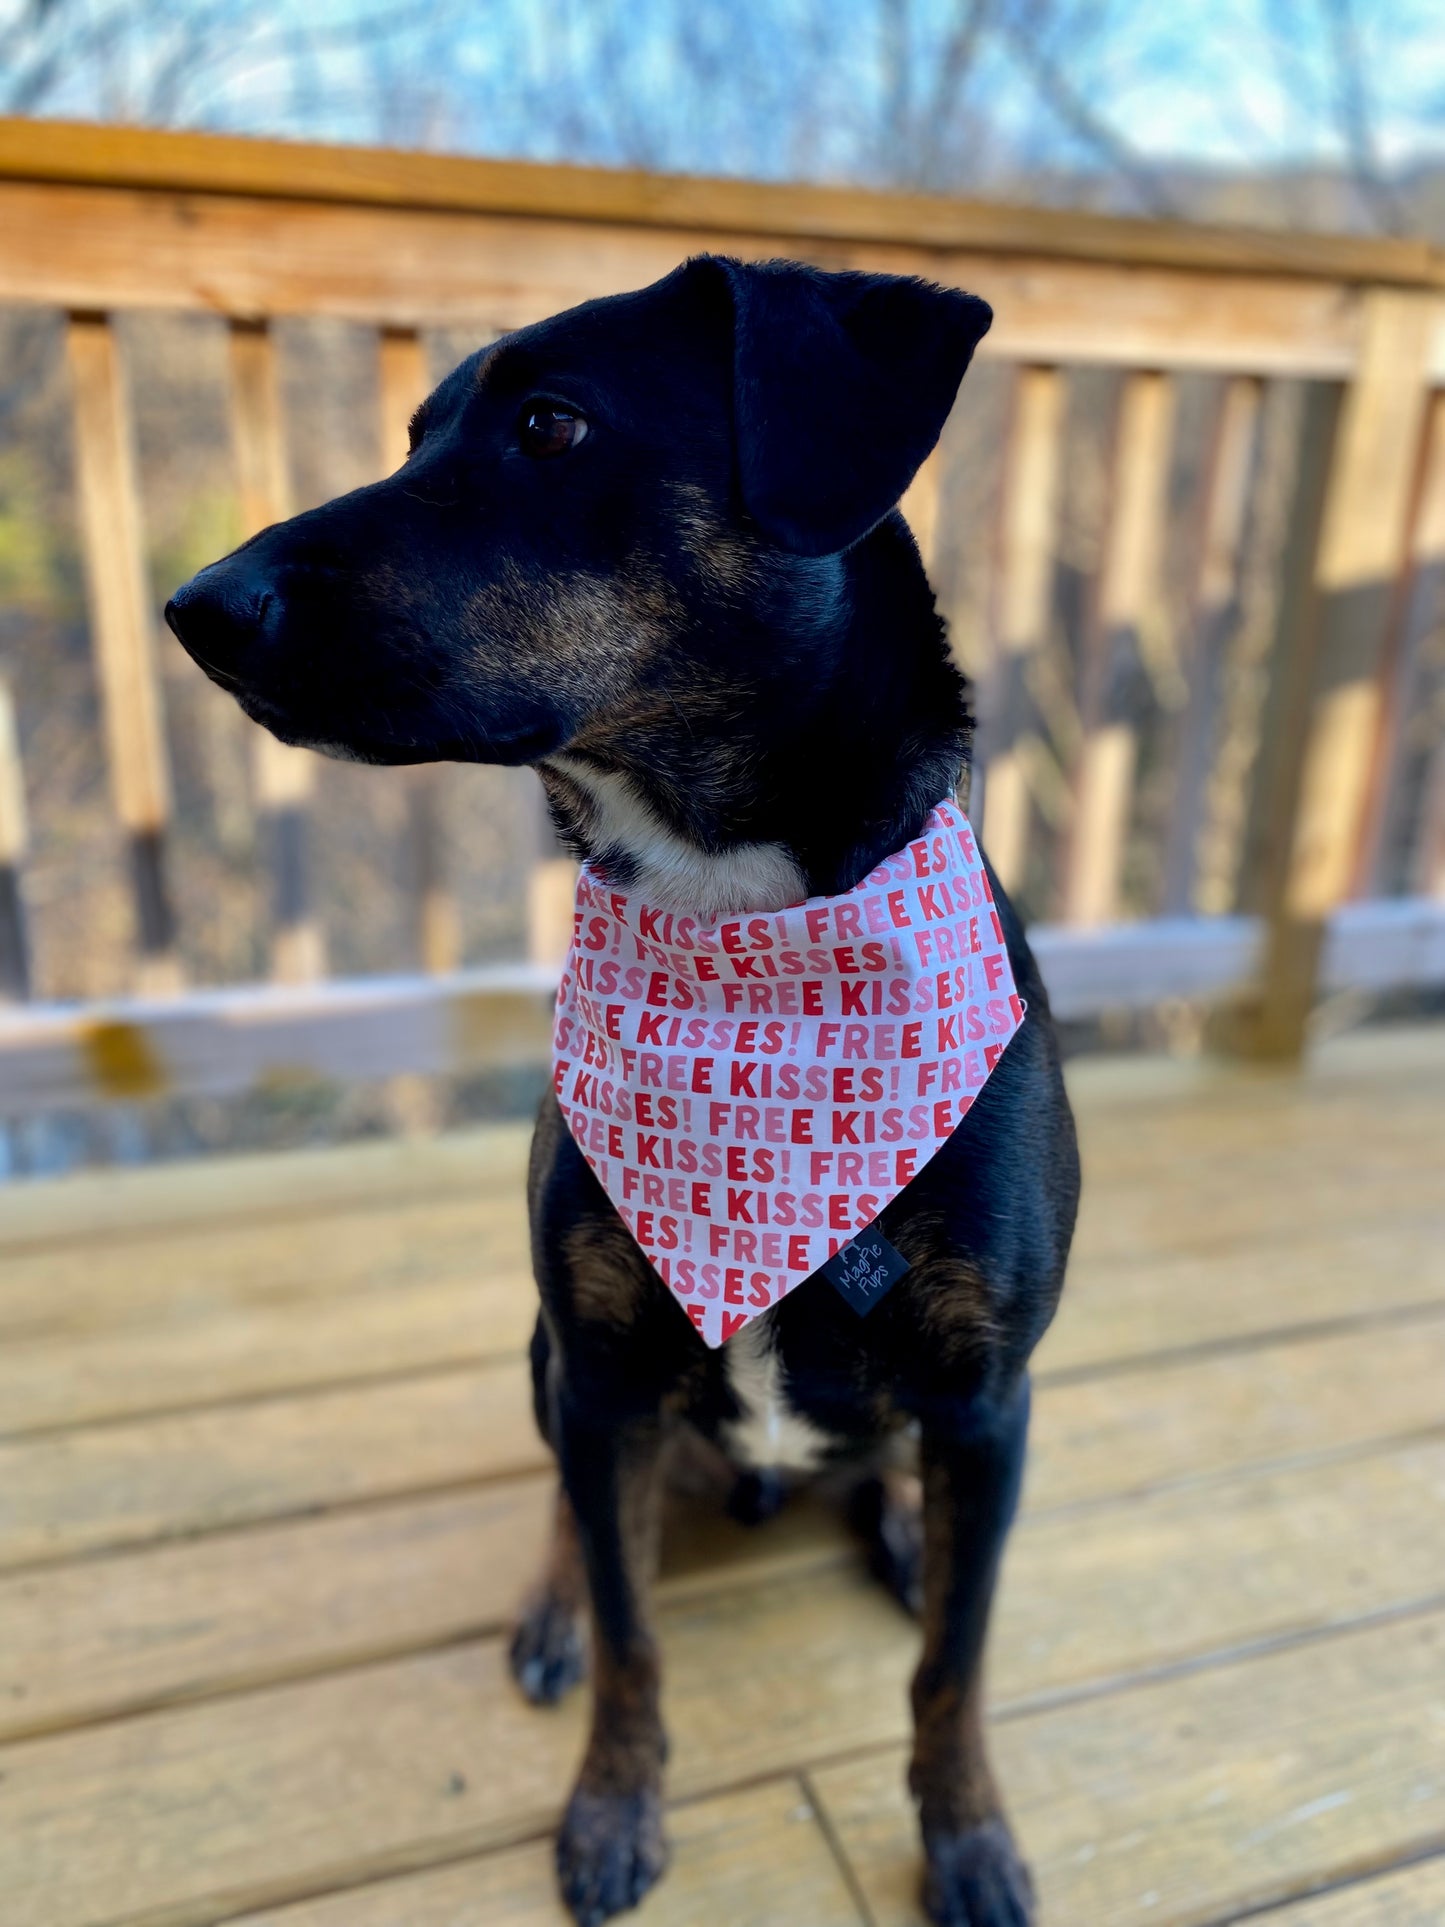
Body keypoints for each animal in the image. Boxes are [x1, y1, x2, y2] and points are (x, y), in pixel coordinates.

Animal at [169, 260, 1078, 1927]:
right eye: (416, 431)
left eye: (549, 423)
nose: (199, 606)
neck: (743, 941)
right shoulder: (594, 1358)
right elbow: (633, 1627)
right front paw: (608, 1801)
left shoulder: (991, 1397)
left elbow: (953, 1665)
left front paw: (968, 1832)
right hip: (553, 1358)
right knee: (577, 1509)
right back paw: (553, 1598)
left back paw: (898, 1517)